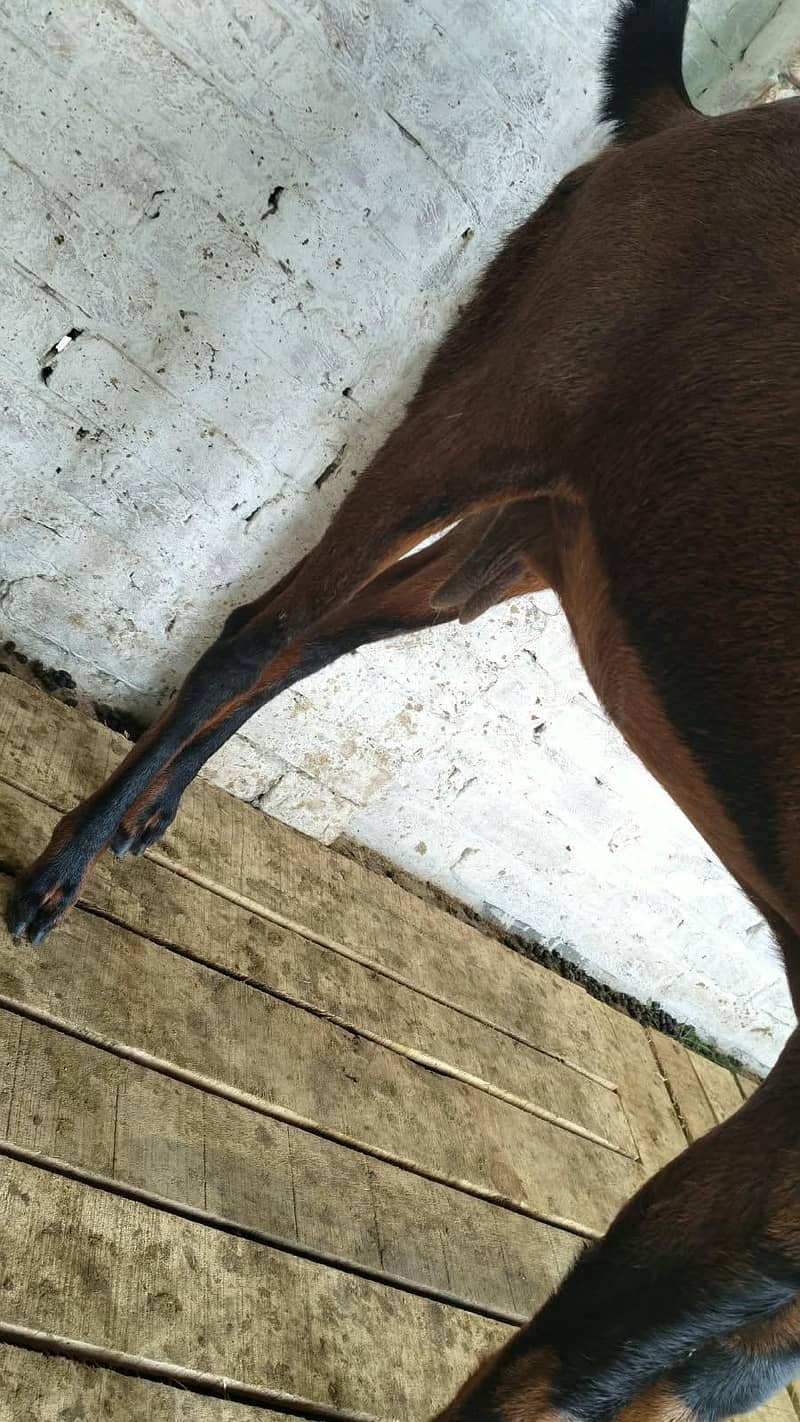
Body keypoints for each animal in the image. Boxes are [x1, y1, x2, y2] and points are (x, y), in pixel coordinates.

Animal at [9, 0, 800, 1413]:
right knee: (260, 628)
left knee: (316, 638)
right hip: (482, 410)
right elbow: (560, 1370)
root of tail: (688, 126)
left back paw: (150, 812)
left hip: (541, 537)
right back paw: (68, 863)